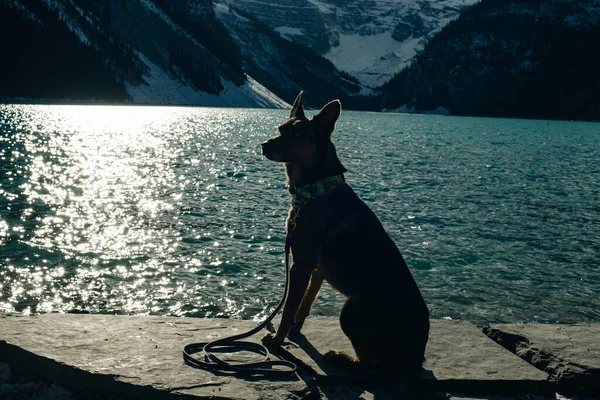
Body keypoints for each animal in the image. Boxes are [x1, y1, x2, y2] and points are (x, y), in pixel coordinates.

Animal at [260, 91, 428, 378]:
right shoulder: (316, 270)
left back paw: (341, 357)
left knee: (372, 366)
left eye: (298, 135)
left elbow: (289, 306)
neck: (315, 187)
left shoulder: (301, 264)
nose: (263, 145)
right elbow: (305, 303)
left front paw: (277, 340)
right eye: (281, 129)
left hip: (351, 309)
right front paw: (295, 331)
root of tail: (416, 360)